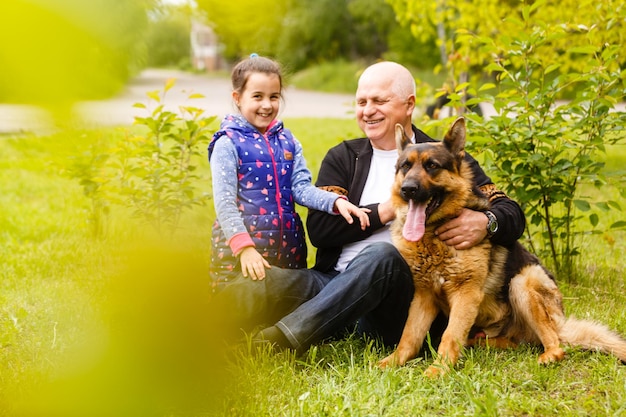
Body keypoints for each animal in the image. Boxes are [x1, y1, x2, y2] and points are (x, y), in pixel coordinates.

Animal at [378, 118, 624, 376]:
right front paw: (393, 362)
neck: (433, 236)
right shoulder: (423, 297)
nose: (408, 189)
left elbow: (450, 335)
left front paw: (438, 370)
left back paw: (548, 356)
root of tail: (562, 323)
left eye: (432, 166)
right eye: (405, 166)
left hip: (522, 282)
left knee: (556, 344)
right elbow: (409, 336)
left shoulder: (465, 294)